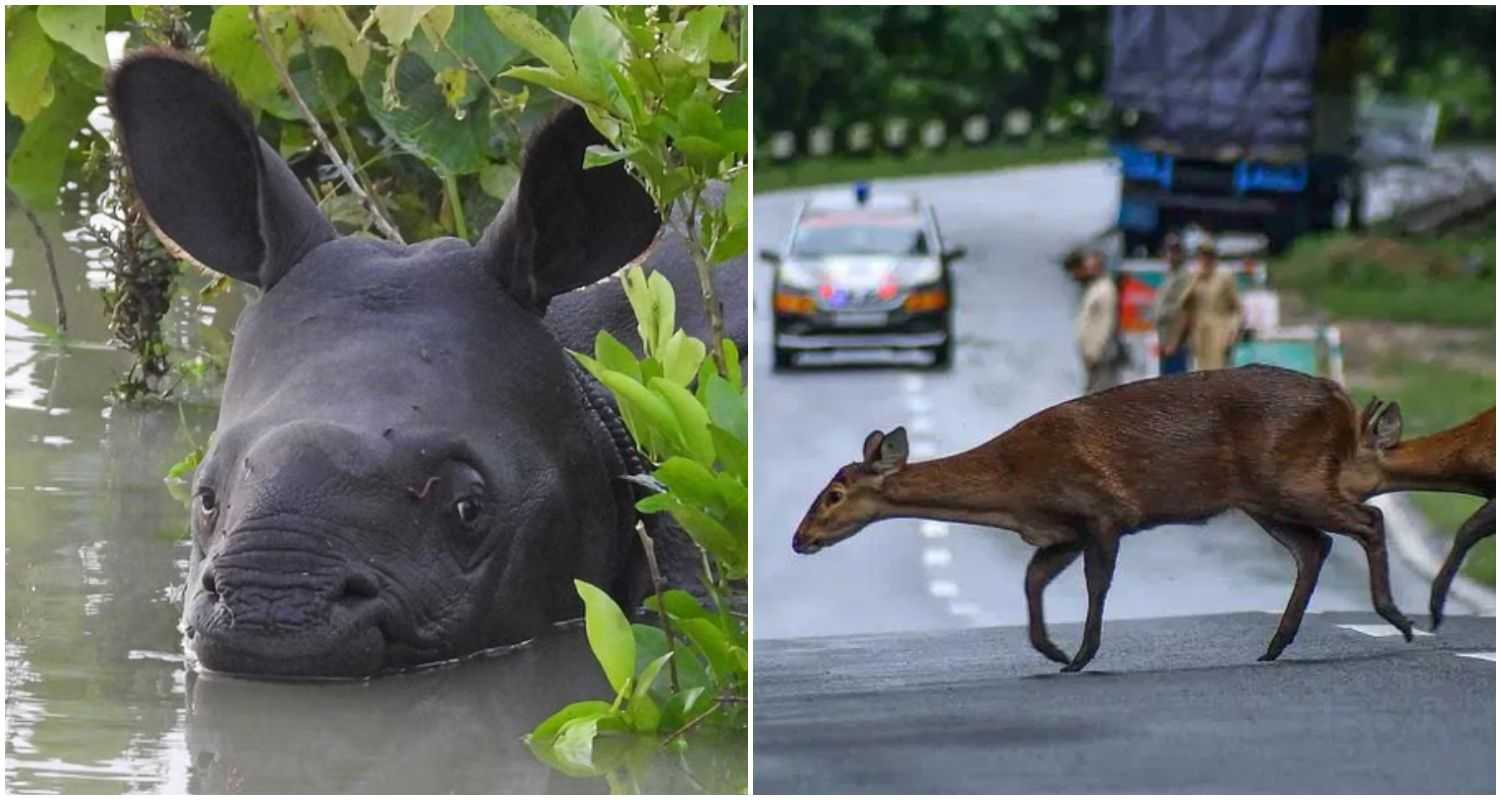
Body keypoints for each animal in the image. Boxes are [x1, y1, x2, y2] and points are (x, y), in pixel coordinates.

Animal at [792, 364, 1410, 669]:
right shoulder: (1060, 533)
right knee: (1315, 546)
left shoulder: (1102, 510)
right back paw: (1277, 644)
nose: (799, 539)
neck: (1012, 488)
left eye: (834, 494)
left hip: (1289, 478)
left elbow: (1096, 584)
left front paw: (1081, 655)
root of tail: (1341, 401)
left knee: (1366, 520)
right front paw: (1054, 650)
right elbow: (1032, 580)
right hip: (1262, 497)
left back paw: (1396, 618)